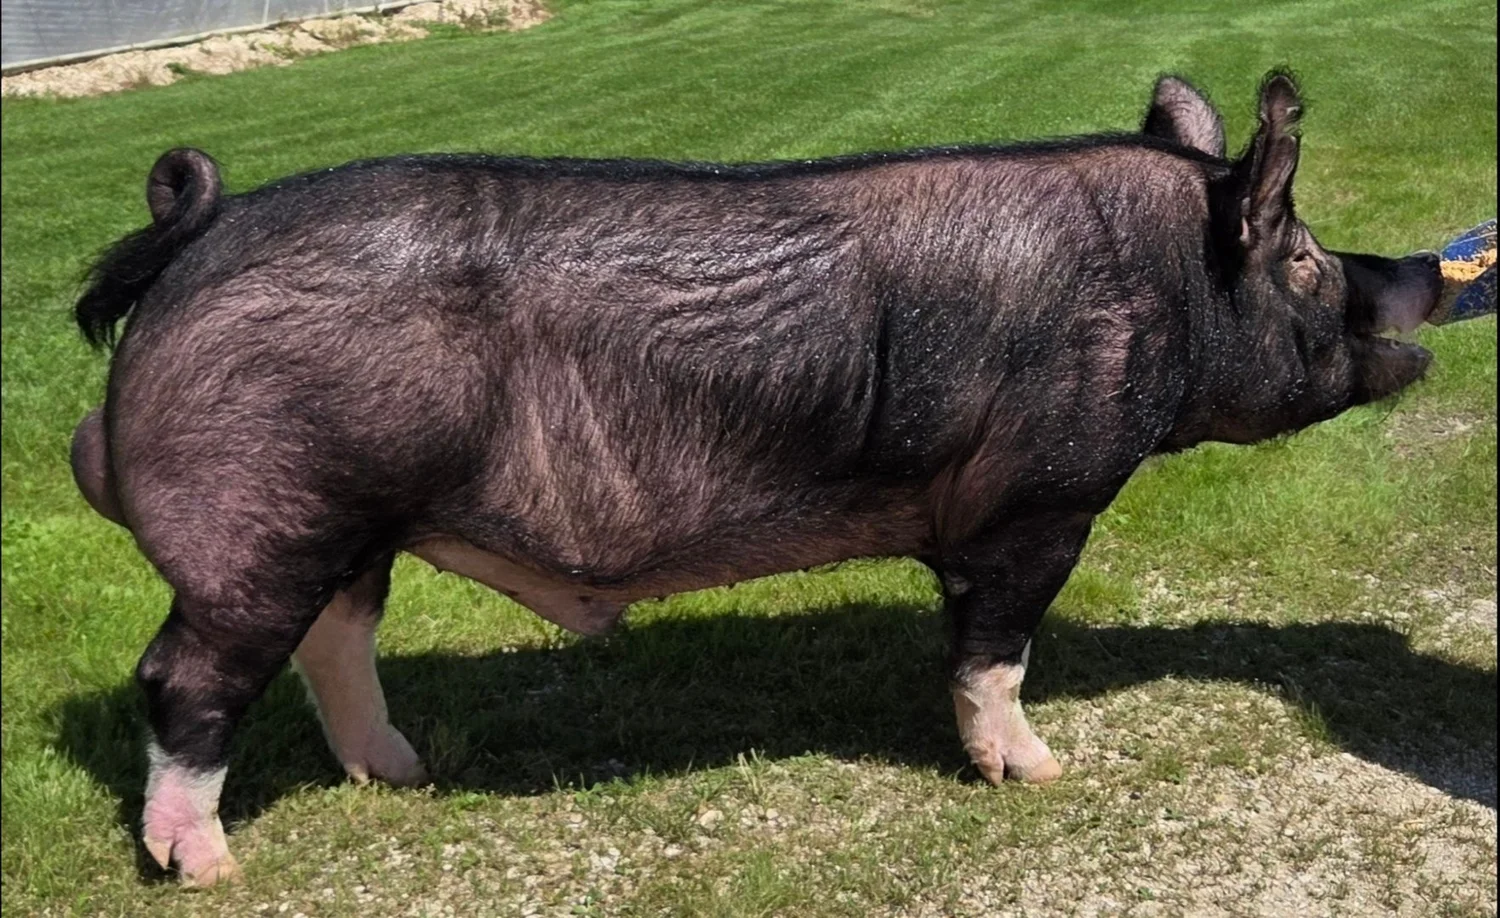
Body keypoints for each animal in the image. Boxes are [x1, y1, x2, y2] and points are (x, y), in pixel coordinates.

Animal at [69, 71, 1442, 885]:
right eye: (1306, 259)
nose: (1420, 278)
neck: (1162, 282)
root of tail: (198, 232)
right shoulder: (1040, 498)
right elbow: (996, 649)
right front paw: (1041, 774)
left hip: (343, 521)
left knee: (334, 639)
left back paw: (403, 774)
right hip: (263, 517)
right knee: (185, 678)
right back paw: (207, 868)